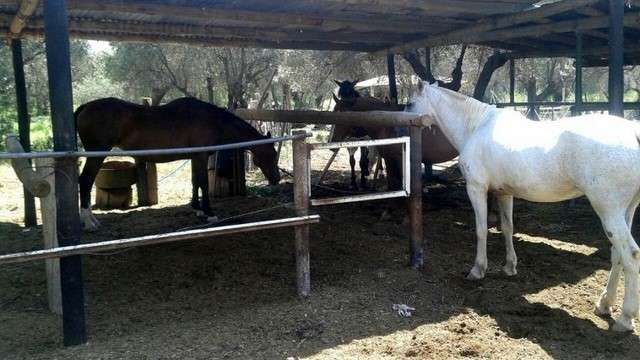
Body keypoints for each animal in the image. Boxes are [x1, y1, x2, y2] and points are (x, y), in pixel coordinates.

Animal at [75, 97, 280, 229]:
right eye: (271, 154)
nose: (277, 179)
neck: (211, 120)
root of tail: (85, 107)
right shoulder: (200, 157)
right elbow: (204, 184)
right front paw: (209, 213)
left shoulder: (195, 158)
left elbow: (195, 182)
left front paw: (197, 209)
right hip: (96, 156)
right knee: (85, 181)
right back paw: (89, 222)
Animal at [410, 81, 640, 332]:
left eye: (409, 103)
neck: (476, 126)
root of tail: (632, 132)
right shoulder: (504, 193)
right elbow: (507, 227)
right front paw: (510, 267)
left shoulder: (476, 189)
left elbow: (481, 231)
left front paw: (478, 269)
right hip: (624, 211)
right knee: (617, 254)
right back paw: (604, 304)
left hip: (609, 212)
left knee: (630, 255)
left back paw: (625, 318)